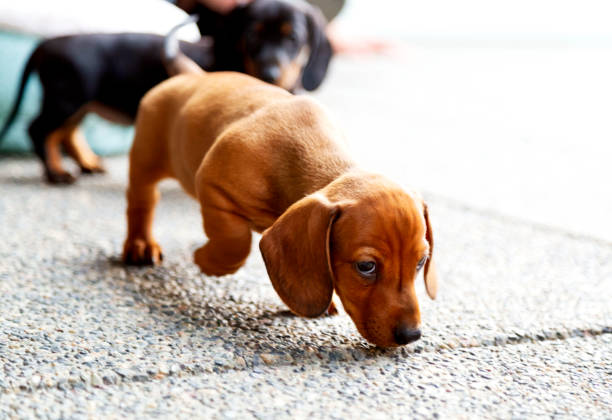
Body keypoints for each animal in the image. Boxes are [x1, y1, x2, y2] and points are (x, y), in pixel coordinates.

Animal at [124, 69, 438, 346]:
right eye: (366, 266)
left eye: (421, 261)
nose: (411, 336)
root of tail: (192, 76)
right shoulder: (212, 184)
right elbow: (234, 245)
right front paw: (207, 261)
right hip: (145, 160)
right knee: (142, 201)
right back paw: (140, 244)